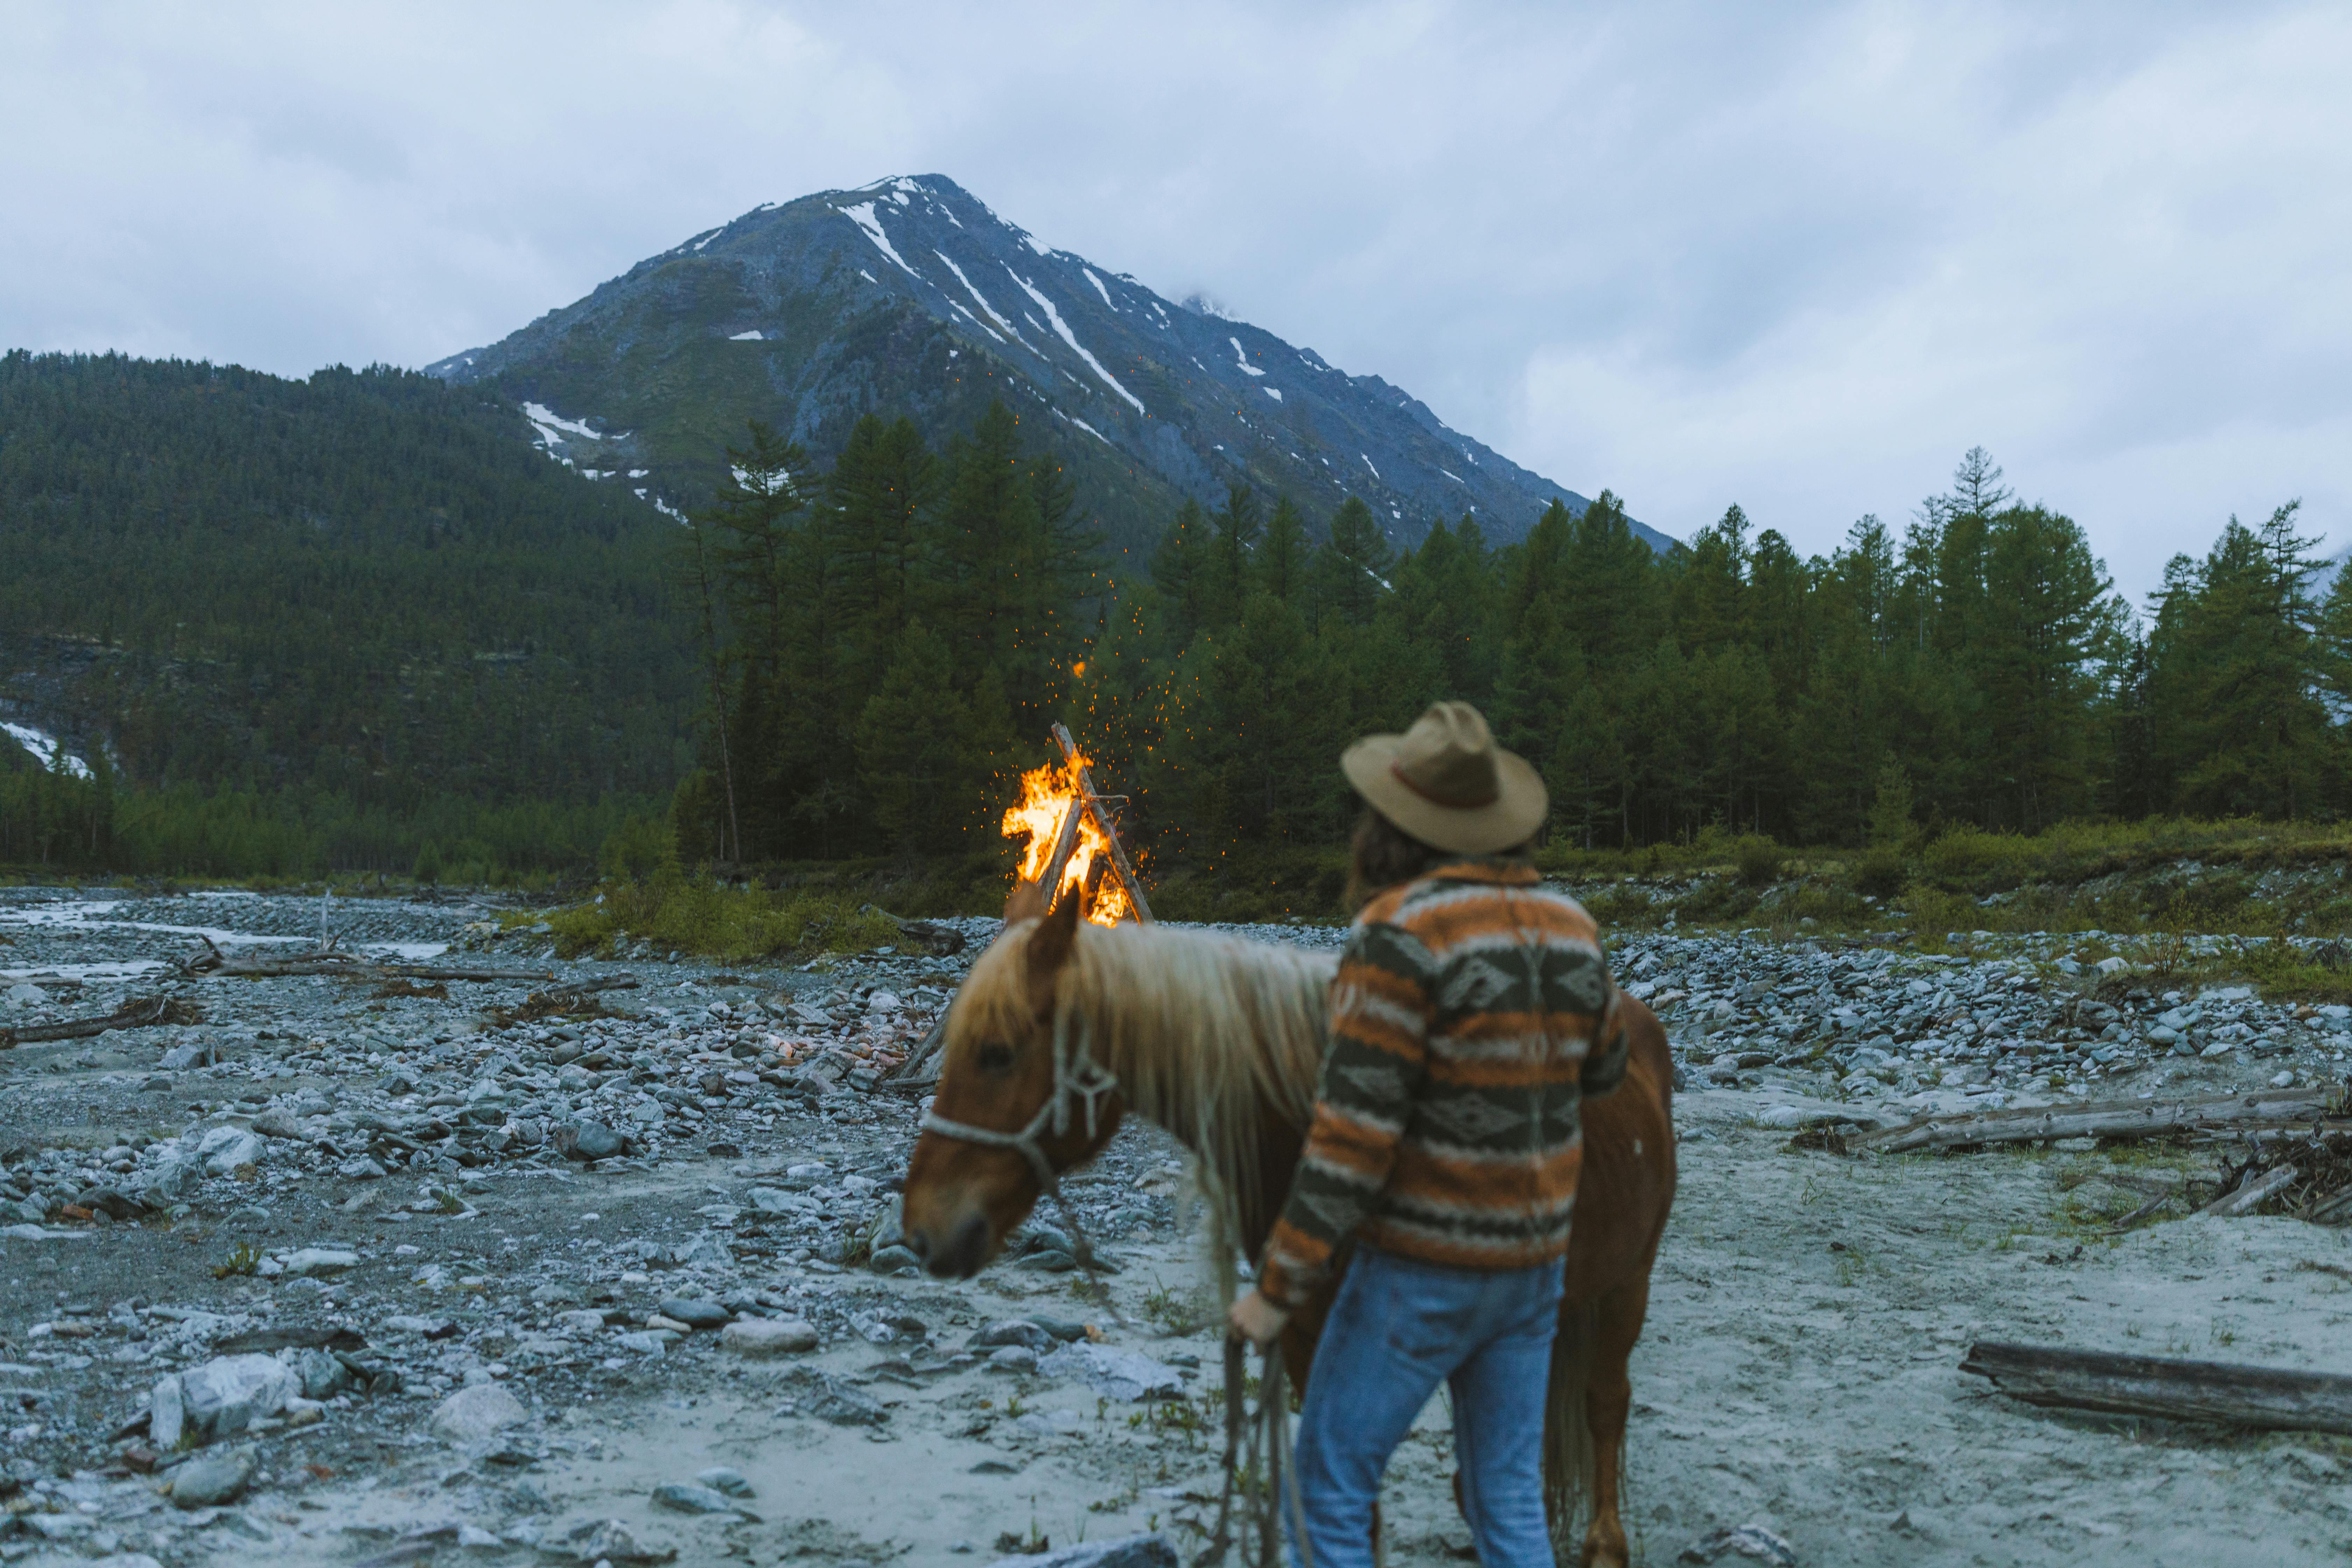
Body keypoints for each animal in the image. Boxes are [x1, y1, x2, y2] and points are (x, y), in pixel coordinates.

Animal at [903, 888, 1693, 1561]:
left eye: (998, 1052)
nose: (920, 1232)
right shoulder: (1312, 1338)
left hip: (1629, 1281)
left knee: (1605, 1404)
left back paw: (1605, 1543)